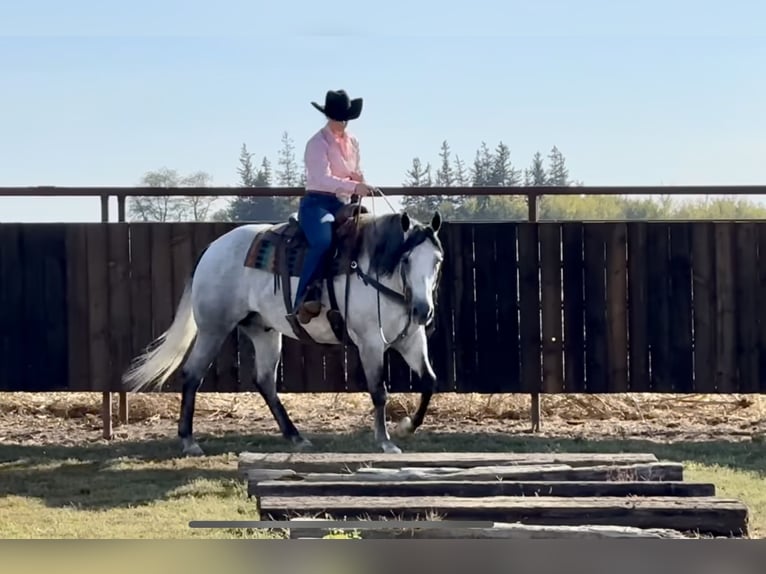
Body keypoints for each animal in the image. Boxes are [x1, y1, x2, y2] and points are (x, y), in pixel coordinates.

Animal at [120, 205, 444, 456]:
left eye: (437, 261)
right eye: (406, 260)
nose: (423, 311)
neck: (376, 272)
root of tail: (212, 249)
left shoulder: (410, 340)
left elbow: (429, 381)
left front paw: (406, 427)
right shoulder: (370, 341)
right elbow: (378, 390)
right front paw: (385, 441)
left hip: (264, 331)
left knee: (264, 380)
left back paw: (296, 437)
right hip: (214, 329)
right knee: (192, 375)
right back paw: (189, 441)